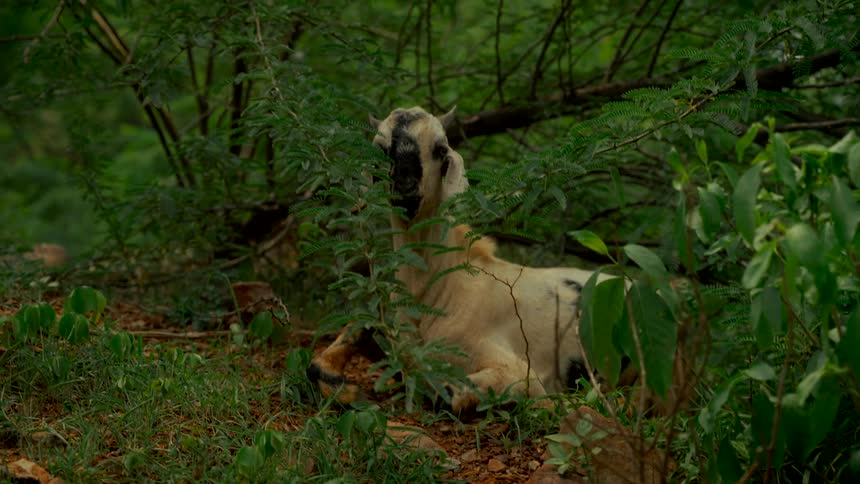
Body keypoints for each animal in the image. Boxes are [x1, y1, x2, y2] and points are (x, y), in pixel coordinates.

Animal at [307, 106, 617, 413]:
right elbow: (331, 350)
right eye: (381, 148)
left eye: (440, 149)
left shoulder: (519, 372)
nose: (405, 187)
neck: (439, 292)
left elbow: (443, 393)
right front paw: (348, 391)